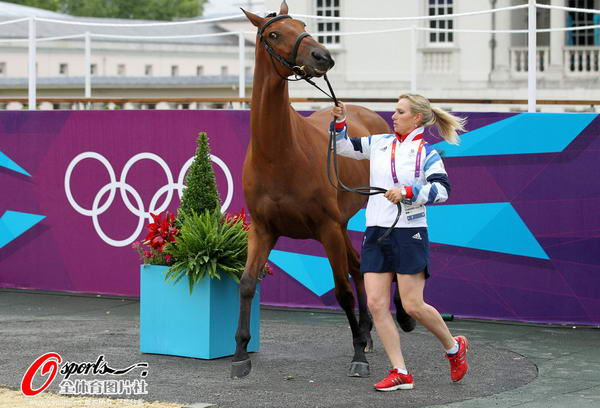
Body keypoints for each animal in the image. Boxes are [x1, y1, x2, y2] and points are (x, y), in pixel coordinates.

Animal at [231, 0, 412, 378]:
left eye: (302, 25)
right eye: (274, 34)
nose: (322, 56)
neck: (279, 154)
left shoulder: (327, 228)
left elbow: (342, 291)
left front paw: (358, 356)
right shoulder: (263, 229)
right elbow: (247, 283)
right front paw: (240, 353)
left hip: (349, 222)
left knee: (363, 268)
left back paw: (383, 327)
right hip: (341, 224)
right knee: (358, 265)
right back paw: (366, 331)